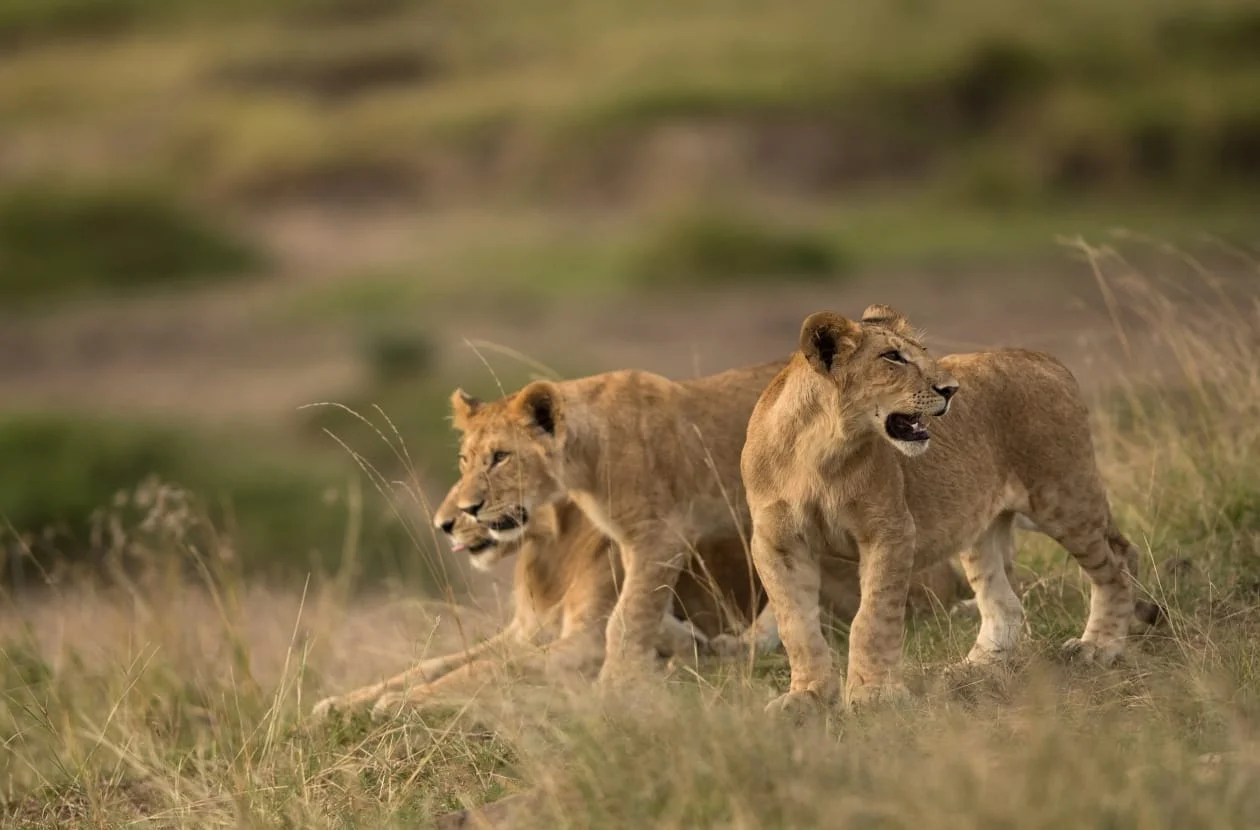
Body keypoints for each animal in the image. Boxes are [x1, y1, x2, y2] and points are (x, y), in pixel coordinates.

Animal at [741, 304, 1158, 718]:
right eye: (892, 357)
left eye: (923, 352)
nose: (950, 389)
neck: (820, 452)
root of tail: (1044, 358)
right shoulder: (775, 544)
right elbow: (796, 624)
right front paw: (807, 696)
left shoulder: (890, 531)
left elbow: (872, 617)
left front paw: (873, 695)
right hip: (980, 525)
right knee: (1005, 602)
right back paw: (973, 668)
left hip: (1061, 496)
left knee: (1117, 560)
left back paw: (1099, 646)